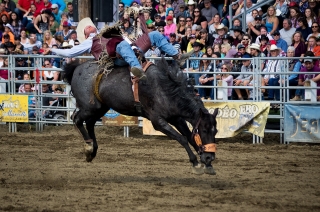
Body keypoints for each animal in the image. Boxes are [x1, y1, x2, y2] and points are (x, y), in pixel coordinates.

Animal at [65, 58, 220, 176]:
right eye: (204, 130)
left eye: (216, 131)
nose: (210, 156)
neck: (166, 89)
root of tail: (77, 68)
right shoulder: (157, 121)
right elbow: (182, 138)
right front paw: (196, 163)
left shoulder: (177, 118)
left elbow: (189, 136)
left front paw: (207, 164)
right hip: (90, 107)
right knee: (77, 118)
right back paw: (89, 148)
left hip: (100, 107)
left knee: (89, 122)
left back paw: (93, 150)